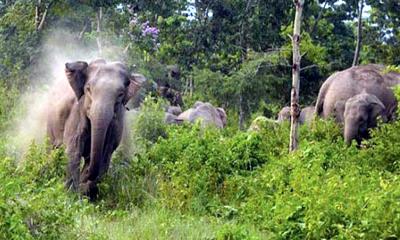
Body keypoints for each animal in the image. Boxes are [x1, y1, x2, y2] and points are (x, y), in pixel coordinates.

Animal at [46, 59, 145, 200]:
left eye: (120, 94)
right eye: (88, 89)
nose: (84, 178)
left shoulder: (116, 124)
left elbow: (105, 155)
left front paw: (86, 193)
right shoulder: (77, 112)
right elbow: (73, 150)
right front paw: (72, 196)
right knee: (52, 148)